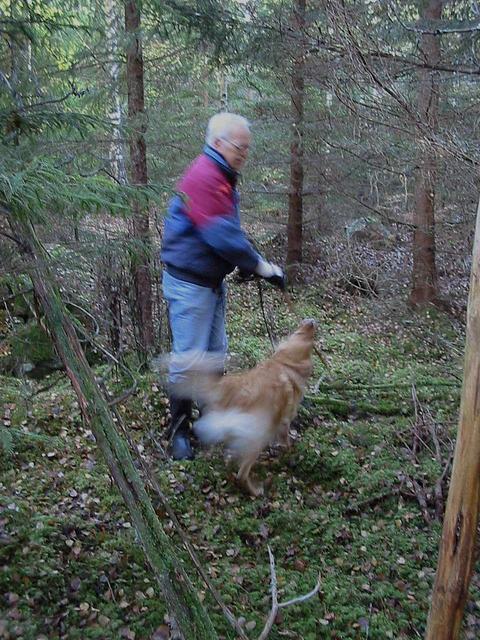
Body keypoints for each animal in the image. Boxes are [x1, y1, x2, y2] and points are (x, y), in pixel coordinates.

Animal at [171, 318, 316, 496]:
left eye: (298, 332)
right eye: (305, 336)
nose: (311, 321)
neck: (285, 363)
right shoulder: (284, 421)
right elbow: (285, 440)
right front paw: (289, 453)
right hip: (256, 439)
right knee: (241, 474)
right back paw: (255, 490)